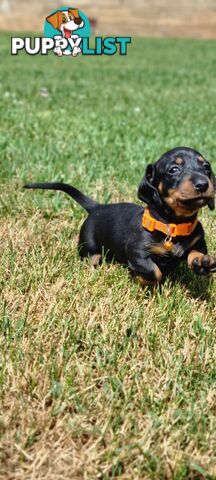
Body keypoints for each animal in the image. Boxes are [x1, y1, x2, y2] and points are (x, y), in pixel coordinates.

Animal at [24, 146, 215, 284]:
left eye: (206, 167)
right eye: (174, 169)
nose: (203, 184)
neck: (173, 226)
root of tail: (97, 207)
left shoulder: (198, 239)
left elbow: (197, 252)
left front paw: (202, 263)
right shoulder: (137, 251)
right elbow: (153, 271)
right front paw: (141, 279)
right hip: (89, 249)